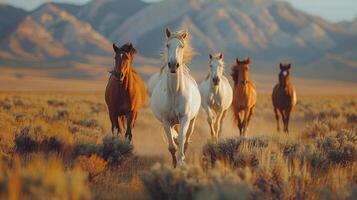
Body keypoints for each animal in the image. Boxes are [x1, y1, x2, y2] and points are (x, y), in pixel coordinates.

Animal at [149, 27, 200, 166]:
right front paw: (174, 163)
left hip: (192, 120)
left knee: (186, 139)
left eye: (181, 46)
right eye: (167, 45)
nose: (173, 64)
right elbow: (172, 145)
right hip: (170, 123)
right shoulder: (166, 121)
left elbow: (182, 139)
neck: (174, 92)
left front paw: (181, 161)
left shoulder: (185, 118)